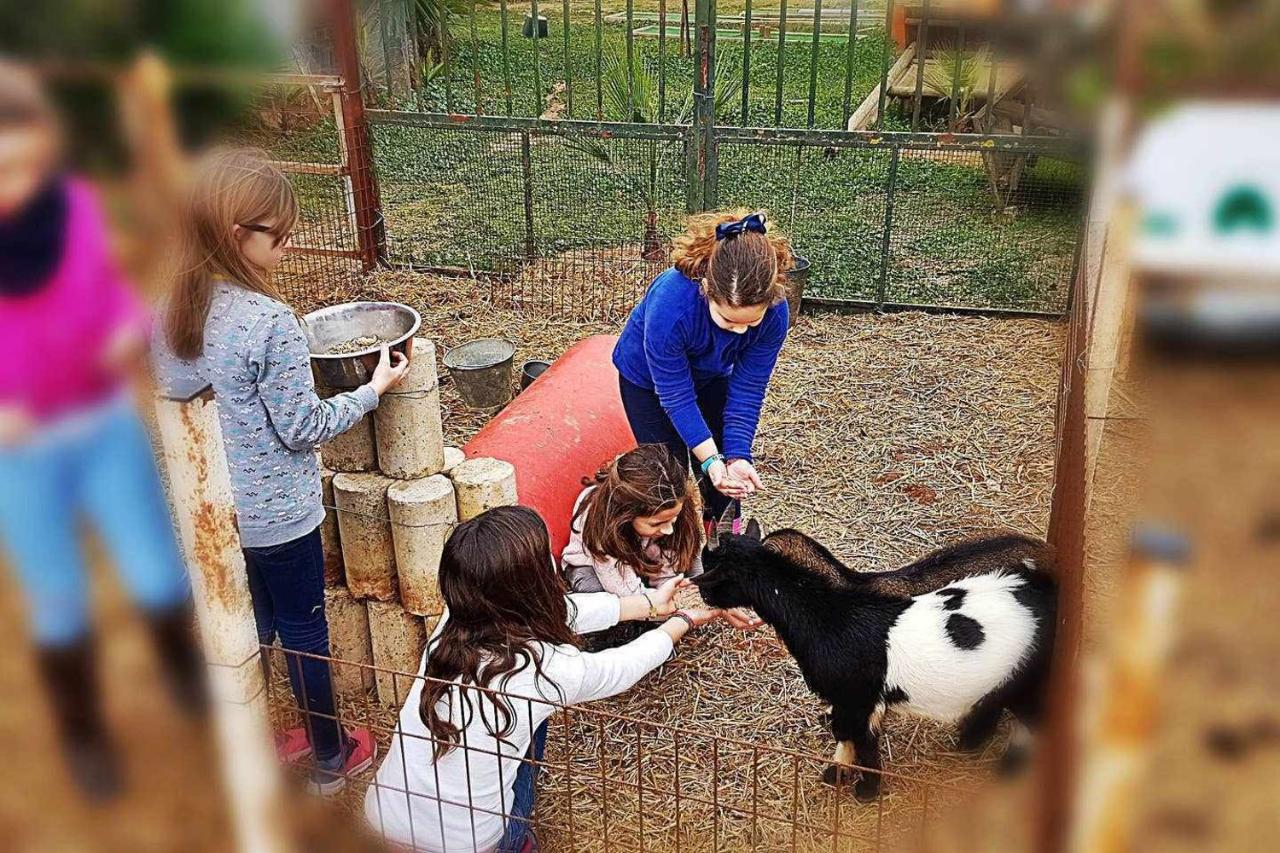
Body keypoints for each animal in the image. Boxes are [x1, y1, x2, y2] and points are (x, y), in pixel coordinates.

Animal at [696, 517, 1054, 799]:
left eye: (712, 569)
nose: (701, 593)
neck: (830, 608)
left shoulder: (859, 697)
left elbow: (857, 737)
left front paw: (863, 788)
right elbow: (850, 733)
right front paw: (841, 772)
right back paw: (971, 741)